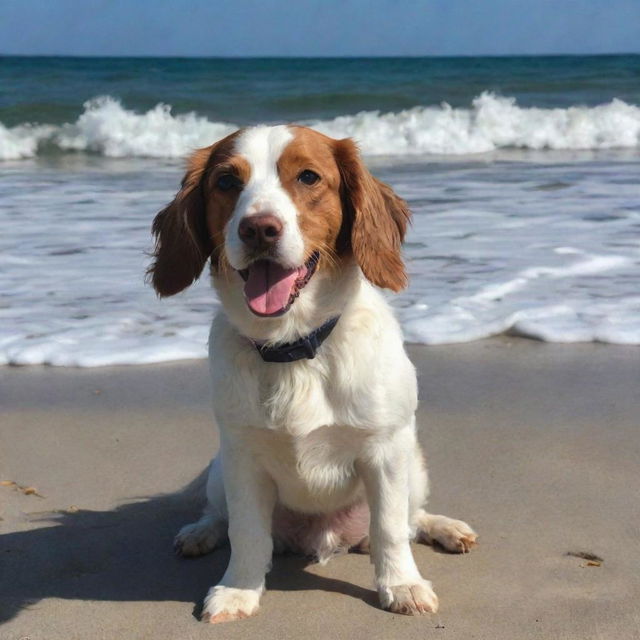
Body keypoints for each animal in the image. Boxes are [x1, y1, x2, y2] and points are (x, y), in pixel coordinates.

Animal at [150, 126, 476, 624]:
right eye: (226, 181)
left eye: (308, 176)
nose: (259, 228)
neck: (294, 349)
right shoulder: (242, 457)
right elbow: (246, 532)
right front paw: (238, 590)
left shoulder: (386, 450)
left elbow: (389, 528)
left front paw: (401, 584)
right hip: (219, 468)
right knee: (220, 515)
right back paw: (200, 533)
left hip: (413, 460)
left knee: (410, 518)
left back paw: (445, 528)